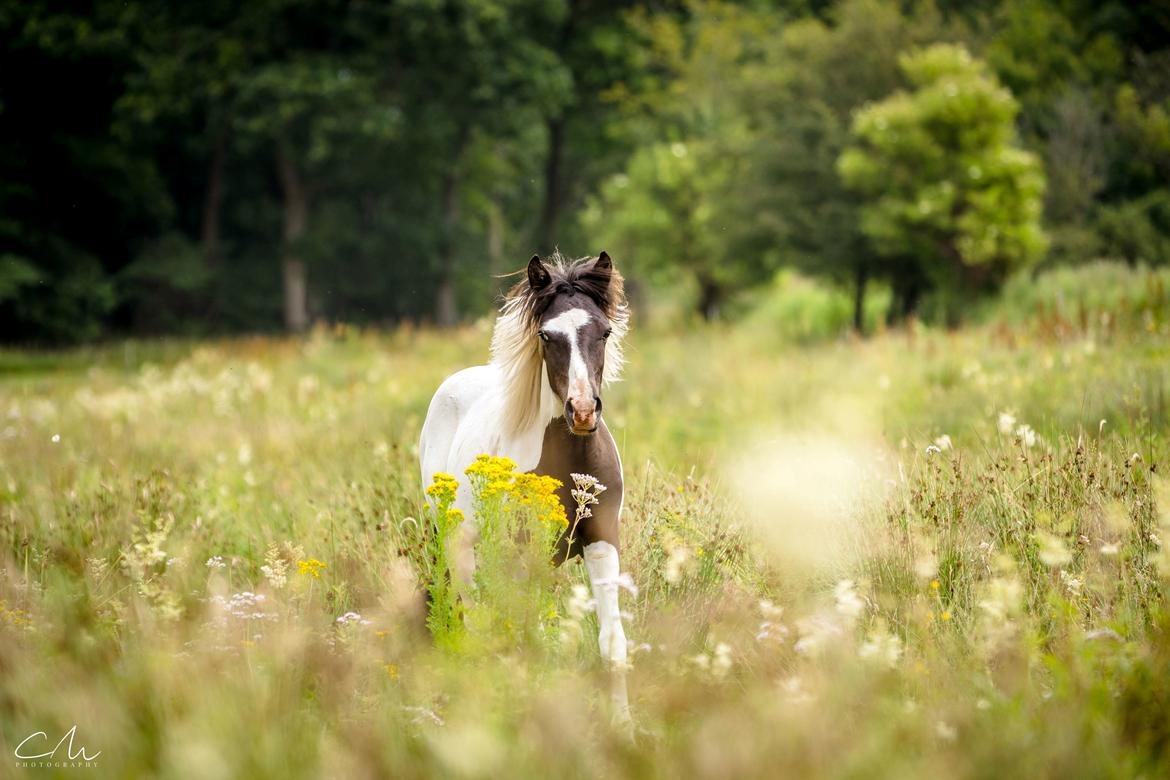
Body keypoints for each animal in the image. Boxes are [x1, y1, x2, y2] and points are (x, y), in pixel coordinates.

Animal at [421, 250, 636, 720]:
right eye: (546, 334)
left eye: (605, 331)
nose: (581, 411)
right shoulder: (521, 551)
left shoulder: (602, 540)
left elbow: (611, 641)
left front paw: (623, 726)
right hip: (460, 546)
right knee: (473, 619)